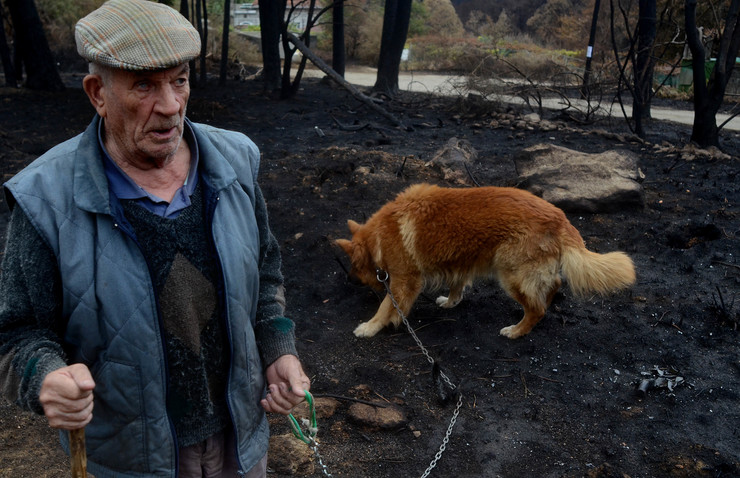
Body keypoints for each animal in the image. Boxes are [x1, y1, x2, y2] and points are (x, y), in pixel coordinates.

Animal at [336, 181, 636, 338]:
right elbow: (456, 286)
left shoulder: (404, 283)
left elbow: (386, 306)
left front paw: (370, 327)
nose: (349, 280)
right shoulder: (457, 262)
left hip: (511, 275)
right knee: (552, 287)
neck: (379, 236)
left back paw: (517, 330)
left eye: (354, 266)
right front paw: (451, 302)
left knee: (536, 309)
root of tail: (560, 218)